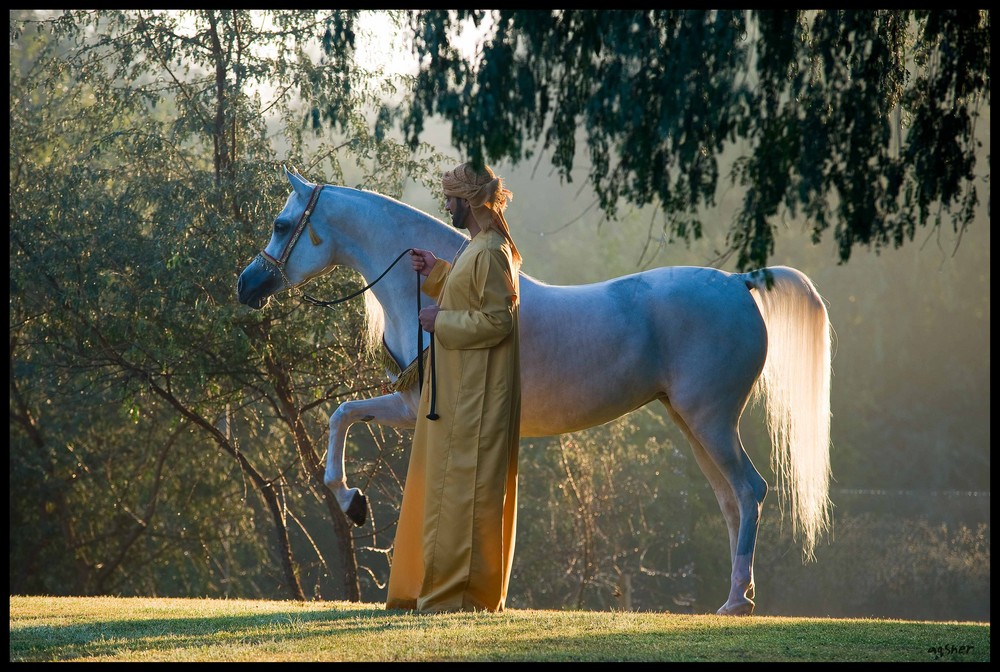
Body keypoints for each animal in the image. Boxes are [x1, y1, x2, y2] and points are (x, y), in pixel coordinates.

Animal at [238, 167, 832, 616]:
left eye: (281, 224)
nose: (247, 285)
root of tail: (738, 283)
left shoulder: (412, 406)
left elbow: (340, 415)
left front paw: (351, 501)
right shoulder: (410, 406)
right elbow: (343, 415)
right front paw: (355, 502)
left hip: (711, 421)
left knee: (750, 491)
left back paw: (737, 602)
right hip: (693, 423)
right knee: (730, 501)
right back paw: (737, 597)